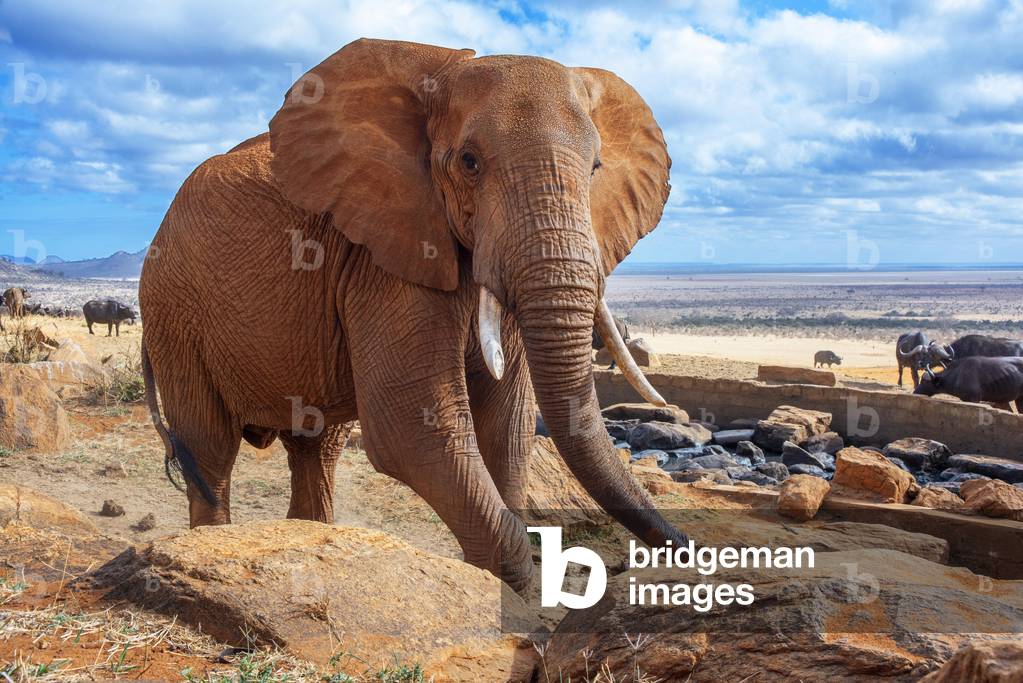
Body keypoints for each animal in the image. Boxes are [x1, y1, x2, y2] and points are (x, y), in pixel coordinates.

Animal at [139, 38, 686, 593]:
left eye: (595, 167)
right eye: (469, 162)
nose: (685, 549)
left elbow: (507, 426)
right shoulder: (383, 260)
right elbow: (413, 429)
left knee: (316, 447)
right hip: (172, 309)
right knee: (209, 449)